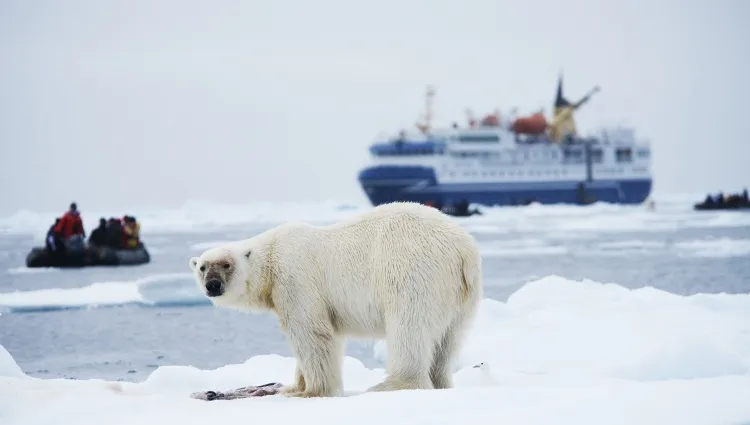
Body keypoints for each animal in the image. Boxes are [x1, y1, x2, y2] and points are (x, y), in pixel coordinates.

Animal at [188, 200, 482, 396]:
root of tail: (463, 248)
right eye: (202, 267)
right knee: (449, 340)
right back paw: (441, 382)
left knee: (409, 327)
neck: (272, 255)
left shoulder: (296, 279)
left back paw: (390, 385)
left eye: (226, 265)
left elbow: (311, 334)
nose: (213, 285)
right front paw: (294, 385)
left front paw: (311, 391)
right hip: (461, 295)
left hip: (412, 270)